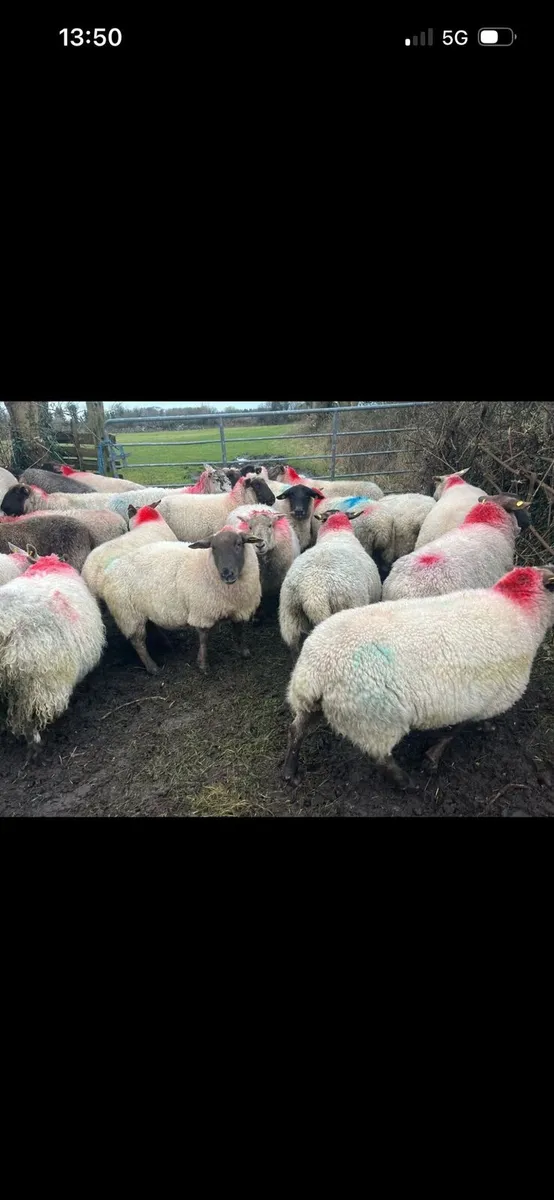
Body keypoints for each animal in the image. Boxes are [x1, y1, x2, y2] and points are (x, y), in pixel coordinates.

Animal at [100, 527, 263, 674]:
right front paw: (203, 665)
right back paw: (153, 668)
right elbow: (204, 639)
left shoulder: (240, 608)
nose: (227, 574)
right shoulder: (202, 612)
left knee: (150, 625)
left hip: (143, 609)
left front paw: (244, 652)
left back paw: (165, 644)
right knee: (138, 642)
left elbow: (239, 630)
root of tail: (108, 572)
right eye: (213, 548)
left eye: (238, 544)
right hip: (129, 615)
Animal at [283, 564, 554, 790]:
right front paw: (434, 757)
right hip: (376, 721)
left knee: (296, 729)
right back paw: (406, 783)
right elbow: (457, 729)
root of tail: (317, 671)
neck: (521, 610)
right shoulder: (486, 698)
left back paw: (290, 772)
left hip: (310, 704)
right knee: (381, 758)